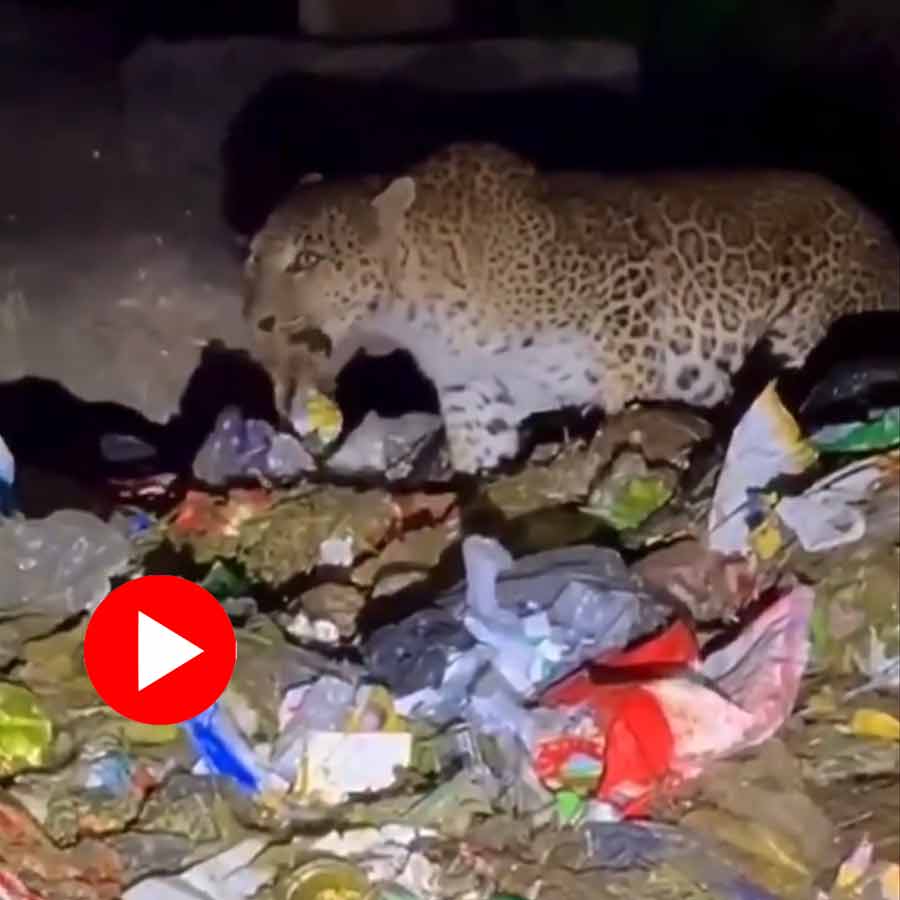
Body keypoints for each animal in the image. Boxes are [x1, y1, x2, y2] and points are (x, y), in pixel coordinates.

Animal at [244, 142, 899, 474]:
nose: (258, 322)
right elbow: (479, 454)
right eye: (253, 256)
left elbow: (626, 390)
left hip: (807, 326)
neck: (419, 316)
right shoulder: (475, 395)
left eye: (306, 260)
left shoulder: (626, 293)